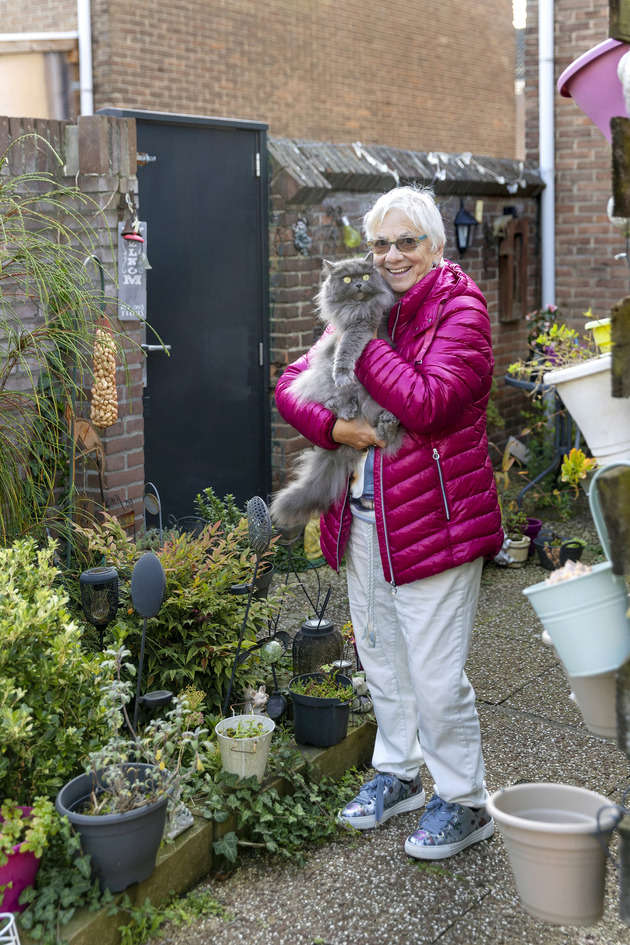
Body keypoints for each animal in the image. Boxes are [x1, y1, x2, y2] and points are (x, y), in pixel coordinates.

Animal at [272, 254, 404, 528]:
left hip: (373, 402)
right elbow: (337, 354)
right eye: (346, 279)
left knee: (383, 433)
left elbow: (346, 351)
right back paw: (347, 410)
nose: (358, 285)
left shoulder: (360, 327)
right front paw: (342, 379)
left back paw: (386, 422)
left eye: (365, 276)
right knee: (334, 402)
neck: (354, 307)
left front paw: (342, 370)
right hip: (319, 379)